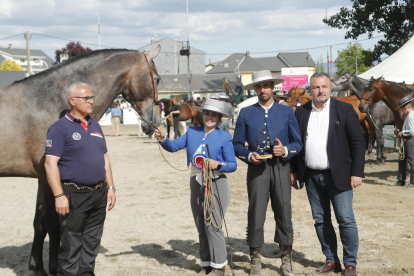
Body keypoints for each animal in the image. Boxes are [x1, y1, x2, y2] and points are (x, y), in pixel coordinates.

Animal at [0, 47, 162, 276]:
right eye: (156, 79)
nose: (156, 122)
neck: (46, 101)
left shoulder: (42, 179)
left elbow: (39, 224)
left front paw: (37, 267)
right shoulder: (50, 178)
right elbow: (54, 225)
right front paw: (53, 269)